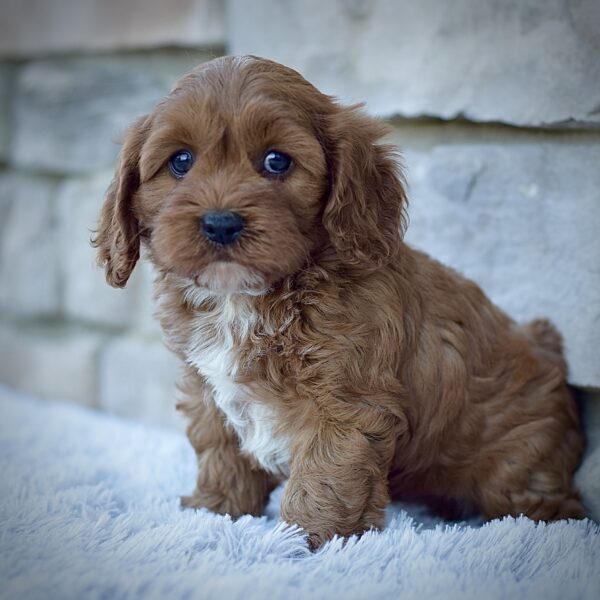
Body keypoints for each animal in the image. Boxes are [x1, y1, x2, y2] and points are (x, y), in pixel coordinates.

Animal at [91, 56, 584, 548]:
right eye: (181, 161)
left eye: (276, 161)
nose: (220, 223)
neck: (247, 298)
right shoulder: (207, 389)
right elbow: (219, 451)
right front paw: (215, 511)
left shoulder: (346, 402)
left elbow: (325, 476)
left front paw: (302, 541)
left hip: (517, 460)